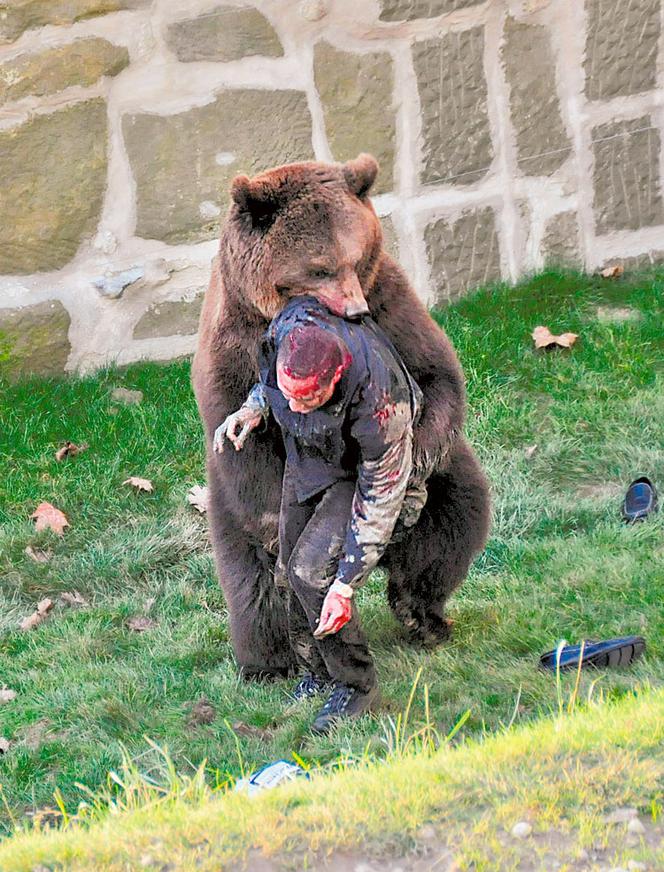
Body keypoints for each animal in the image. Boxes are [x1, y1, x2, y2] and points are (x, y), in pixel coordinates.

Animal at [193, 153, 492, 676]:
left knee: (454, 521)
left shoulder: (389, 302)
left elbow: (436, 375)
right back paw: (270, 661)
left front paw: (407, 473)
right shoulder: (234, 347)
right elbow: (246, 440)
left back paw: (421, 614)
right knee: (252, 582)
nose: (353, 310)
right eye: (319, 267)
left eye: (355, 257)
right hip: (227, 510)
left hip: (448, 486)